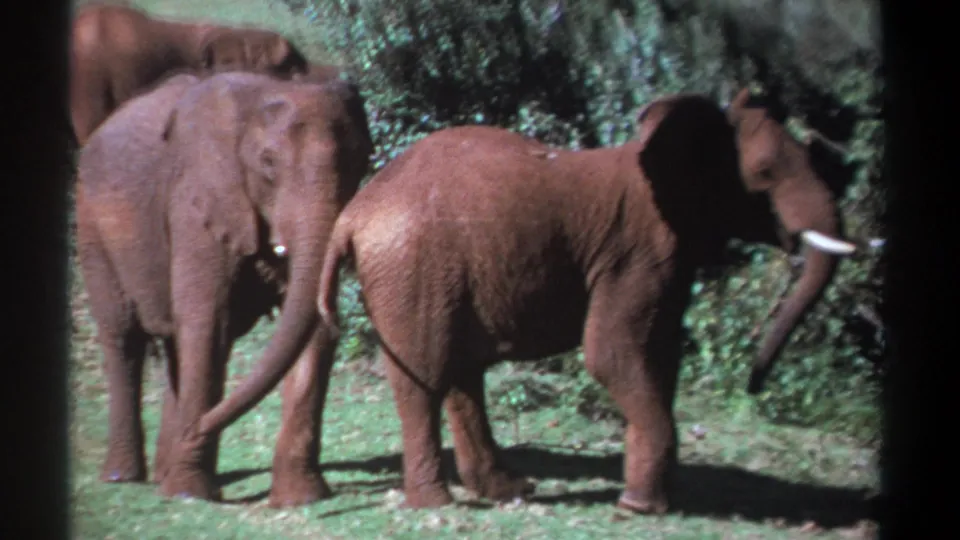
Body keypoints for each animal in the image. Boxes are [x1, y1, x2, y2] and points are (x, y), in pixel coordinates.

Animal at [75, 70, 374, 507]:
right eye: (268, 163)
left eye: (360, 158)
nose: (195, 432)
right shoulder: (197, 200)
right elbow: (208, 319)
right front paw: (188, 493)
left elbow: (310, 328)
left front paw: (301, 498)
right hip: (92, 226)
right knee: (124, 337)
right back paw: (126, 477)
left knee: (175, 344)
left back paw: (166, 472)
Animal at [301, 87, 858, 513]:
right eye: (764, 174)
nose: (753, 384)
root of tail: (353, 215)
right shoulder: (638, 251)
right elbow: (612, 353)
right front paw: (639, 508)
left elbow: (661, 356)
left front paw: (652, 500)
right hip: (410, 268)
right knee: (424, 379)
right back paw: (437, 503)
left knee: (461, 374)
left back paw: (510, 490)